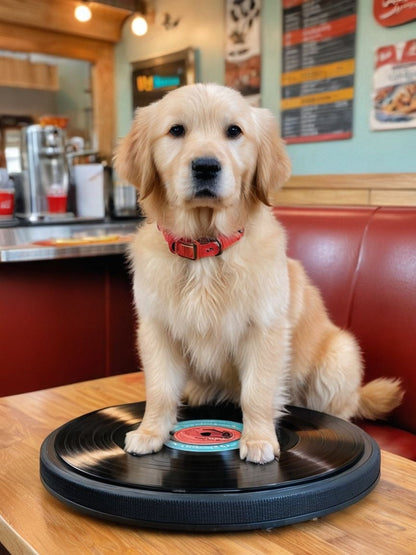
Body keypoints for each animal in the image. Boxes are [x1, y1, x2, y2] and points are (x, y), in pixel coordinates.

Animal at [114, 83, 404, 464]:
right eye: (176, 130)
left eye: (234, 131)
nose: (206, 166)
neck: (206, 249)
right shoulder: (157, 330)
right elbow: (160, 390)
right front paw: (150, 432)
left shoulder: (264, 330)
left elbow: (258, 392)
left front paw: (258, 439)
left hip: (340, 357)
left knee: (342, 410)